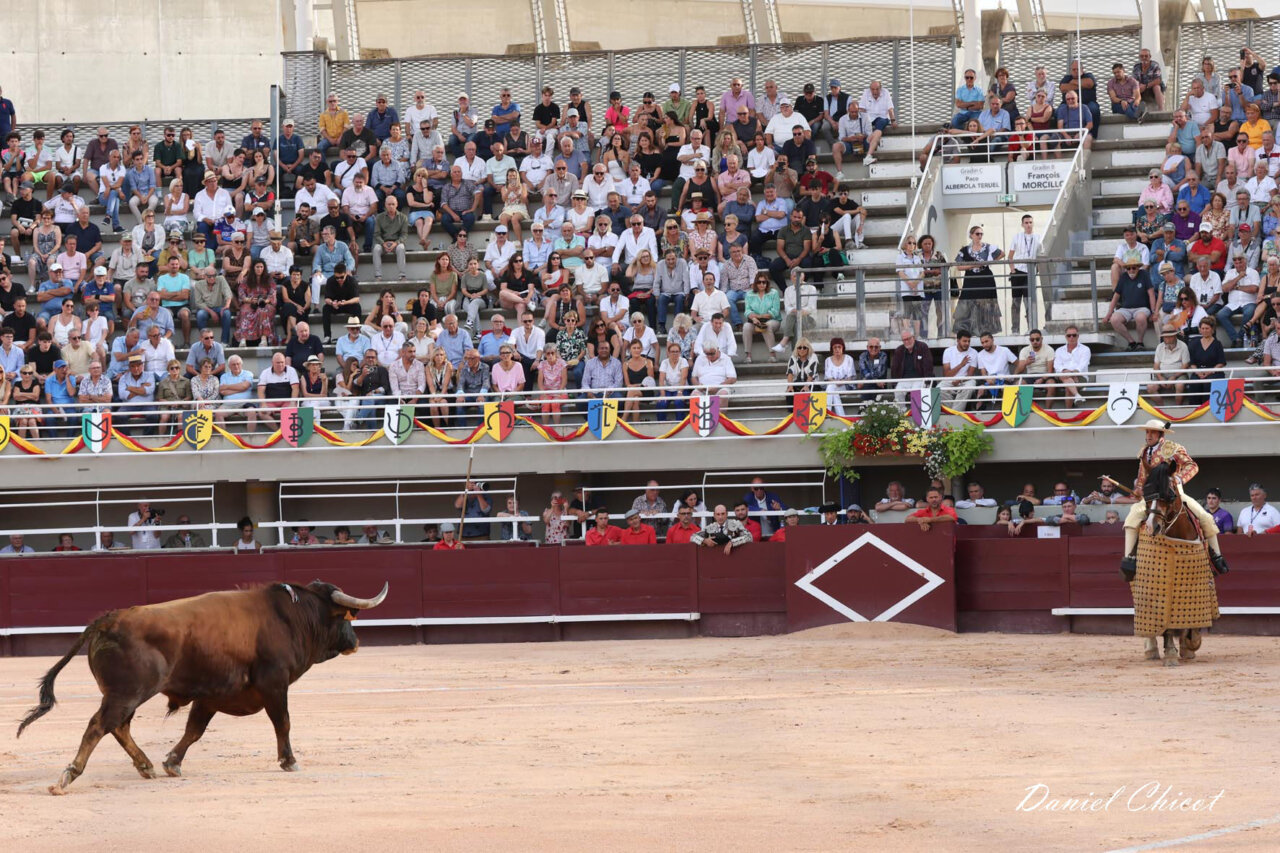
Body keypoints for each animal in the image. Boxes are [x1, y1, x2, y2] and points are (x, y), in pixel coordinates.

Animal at [17, 579, 388, 795]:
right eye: (346, 617)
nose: (356, 642)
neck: (293, 617)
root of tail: (106, 619)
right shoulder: (275, 683)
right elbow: (282, 722)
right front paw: (289, 761)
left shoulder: (211, 695)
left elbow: (194, 730)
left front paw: (171, 763)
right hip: (127, 693)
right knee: (100, 725)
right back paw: (68, 777)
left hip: (125, 695)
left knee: (118, 726)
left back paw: (146, 766)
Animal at [1137, 461, 1211, 666]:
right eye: (1146, 495)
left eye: (1169, 494)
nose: (1152, 527)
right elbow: (1167, 622)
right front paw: (1170, 653)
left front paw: (1191, 643)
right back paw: (1151, 649)